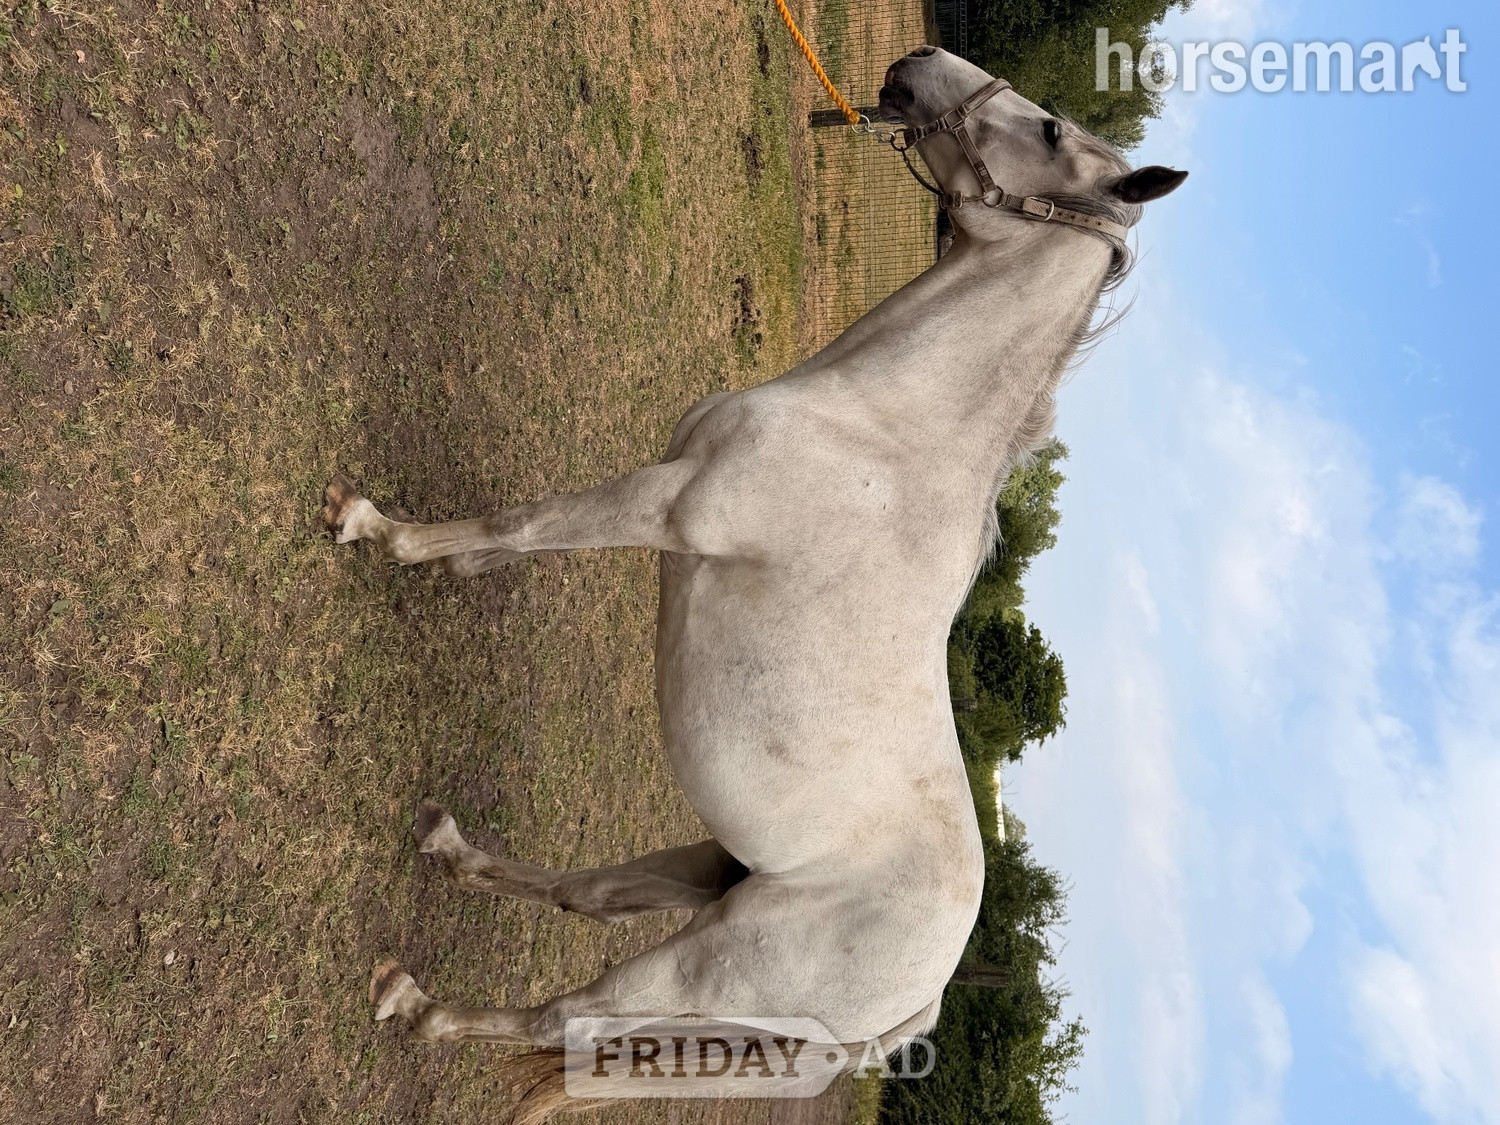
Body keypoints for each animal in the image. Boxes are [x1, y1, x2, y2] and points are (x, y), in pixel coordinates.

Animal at [322, 45, 1185, 1117]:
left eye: (1051, 132)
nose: (918, 62)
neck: (881, 433)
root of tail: (913, 1009)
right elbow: (516, 539)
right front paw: (444, 559)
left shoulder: (664, 504)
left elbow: (522, 524)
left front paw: (375, 529)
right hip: (707, 874)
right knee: (584, 897)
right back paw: (445, 849)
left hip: (701, 968)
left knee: (562, 1015)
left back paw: (416, 1003)